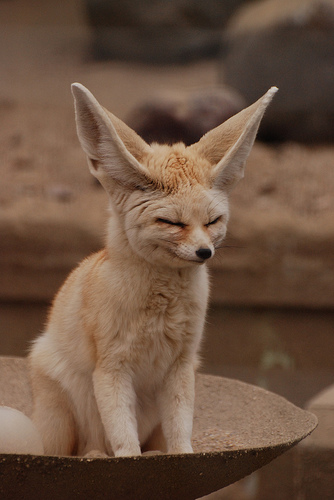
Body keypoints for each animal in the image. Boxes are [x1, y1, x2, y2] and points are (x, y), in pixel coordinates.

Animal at [28, 83, 276, 458]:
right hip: (61, 422)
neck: (161, 309)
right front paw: (128, 460)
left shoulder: (181, 367)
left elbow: (180, 431)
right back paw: (91, 453)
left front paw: (183, 457)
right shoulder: (111, 369)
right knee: (80, 449)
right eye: (171, 222)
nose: (205, 252)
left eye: (213, 221)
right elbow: (124, 438)